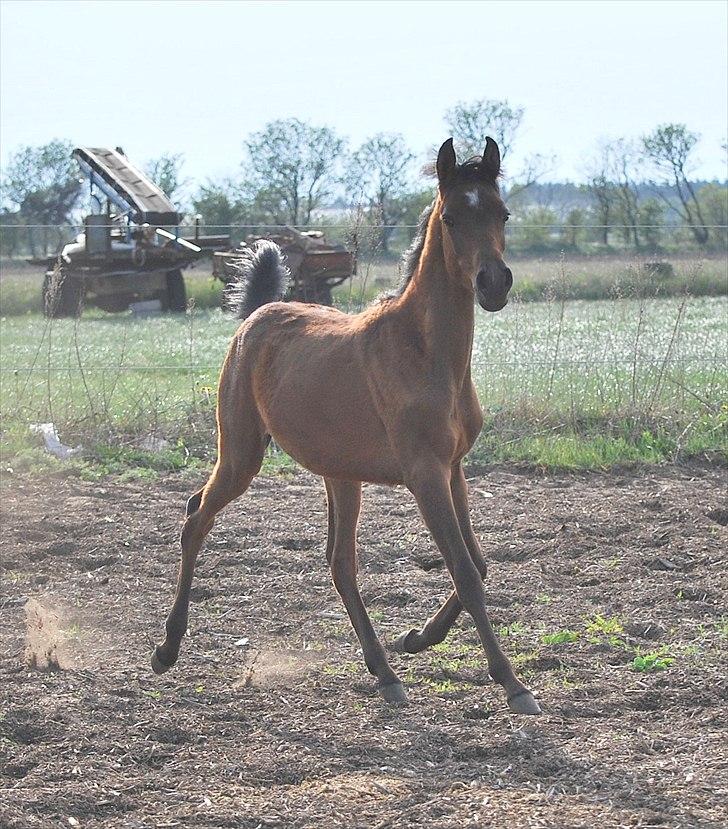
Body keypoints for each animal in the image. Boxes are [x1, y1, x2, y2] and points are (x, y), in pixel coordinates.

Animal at [151, 136, 540, 712]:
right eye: (450, 217)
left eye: (502, 212)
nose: (493, 283)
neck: (425, 353)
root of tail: (258, 313)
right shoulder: (424, 474)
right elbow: (466, 572)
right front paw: (513, 683)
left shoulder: (454, 469)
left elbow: (479, 563)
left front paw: (420, 638)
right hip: (241, 453)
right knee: (197, 517)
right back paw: (167, 649)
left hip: (340, 474)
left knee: (339, 563)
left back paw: (384, 671)